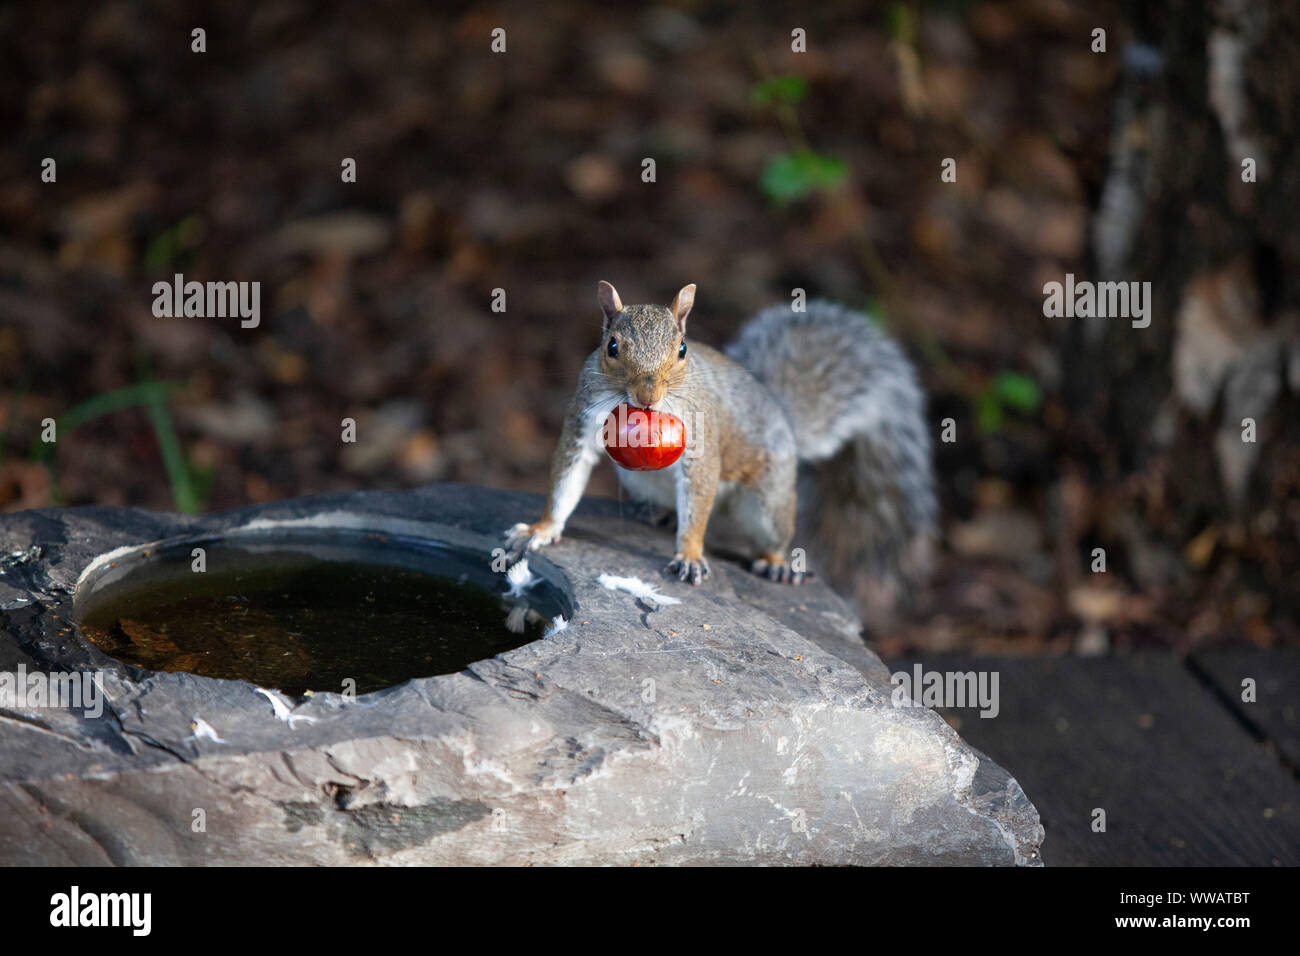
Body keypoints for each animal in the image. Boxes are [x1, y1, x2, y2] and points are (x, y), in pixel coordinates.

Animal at [504, 283, 935, 629]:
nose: (647, 397)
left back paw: (776, 564)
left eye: (682, 349)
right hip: (637, 479)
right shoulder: (581, 421)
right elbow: (567, 478)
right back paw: (657, 512)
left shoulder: (702, 444)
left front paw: (690, 555)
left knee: (771, 533)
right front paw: (540, 530)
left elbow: (697, 504)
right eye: (612, 347)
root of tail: (784, 421)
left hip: (768, 501)